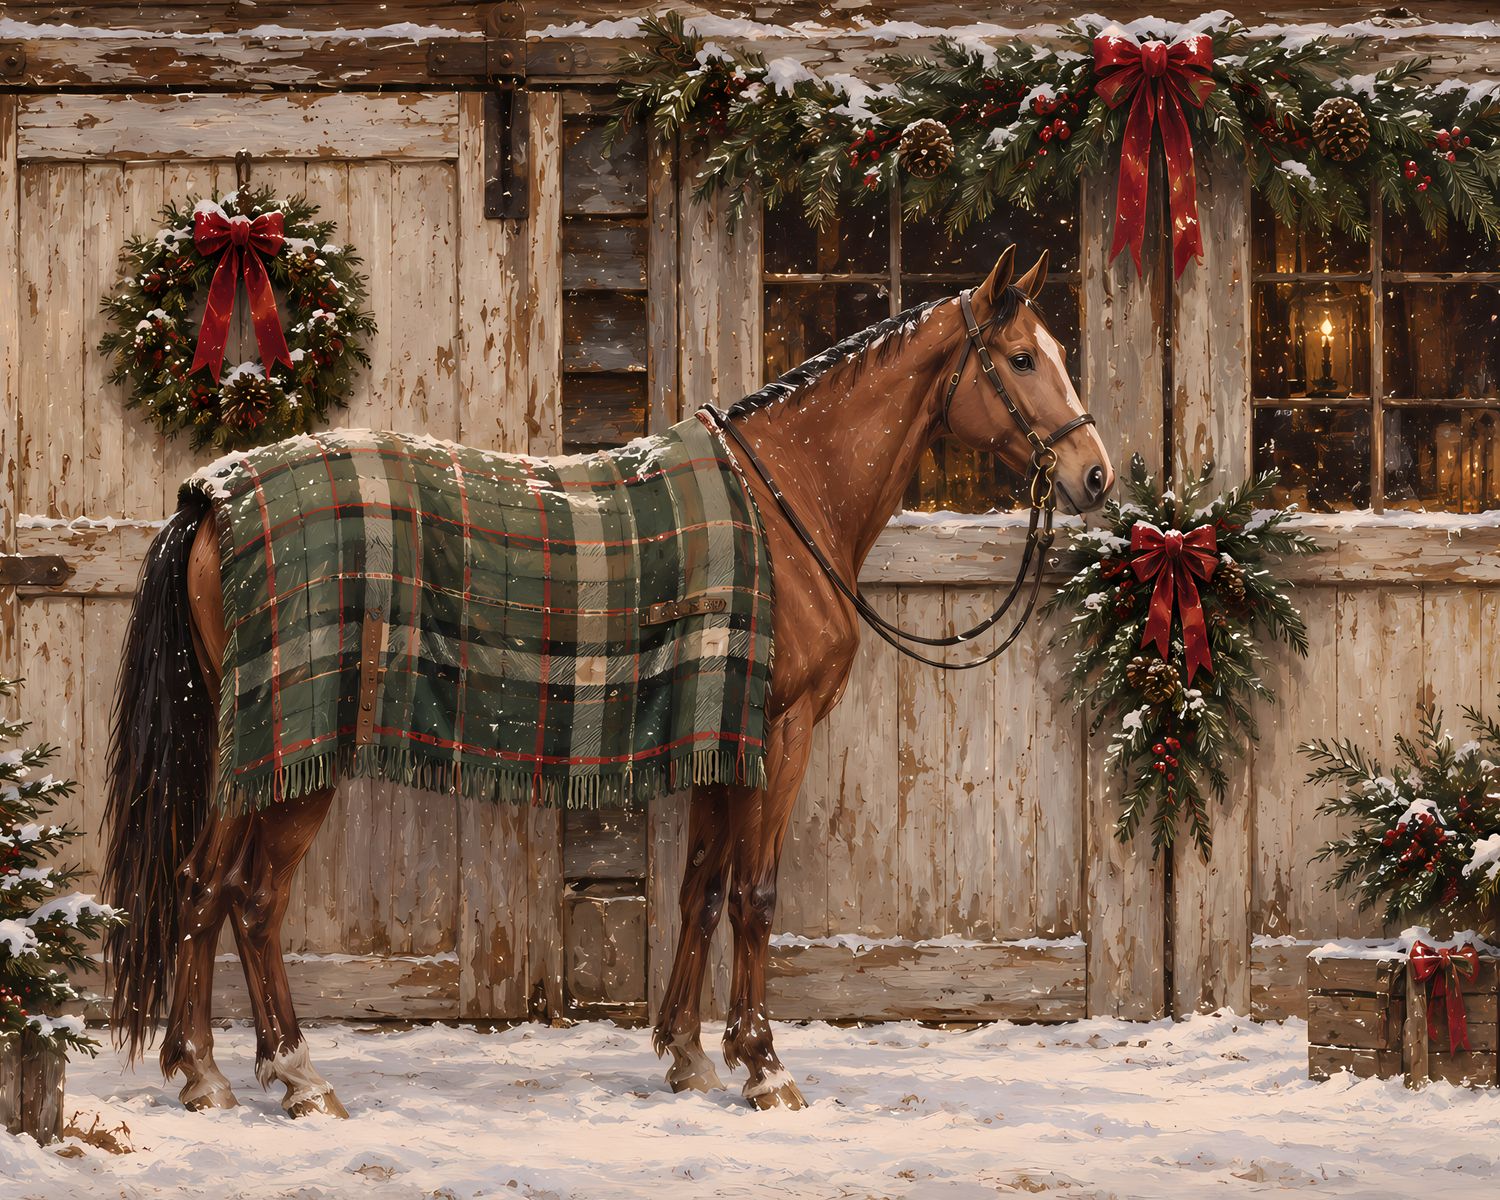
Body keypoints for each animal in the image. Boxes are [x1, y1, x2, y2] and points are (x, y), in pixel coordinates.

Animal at [101, 244, 1112, 1116]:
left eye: (1062, 354)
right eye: (1023, 358)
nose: (1094, 475)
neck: (780, 503)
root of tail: (214, 497)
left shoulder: (716, 734)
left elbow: (702, 887)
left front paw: (690, 1057)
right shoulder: (779, 733)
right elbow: (756, 895)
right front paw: (765, 1068)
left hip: (248, 747)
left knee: (202, 887)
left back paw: (205, 1071)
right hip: (288, 751)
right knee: (249, 897)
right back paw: (296, 1077)